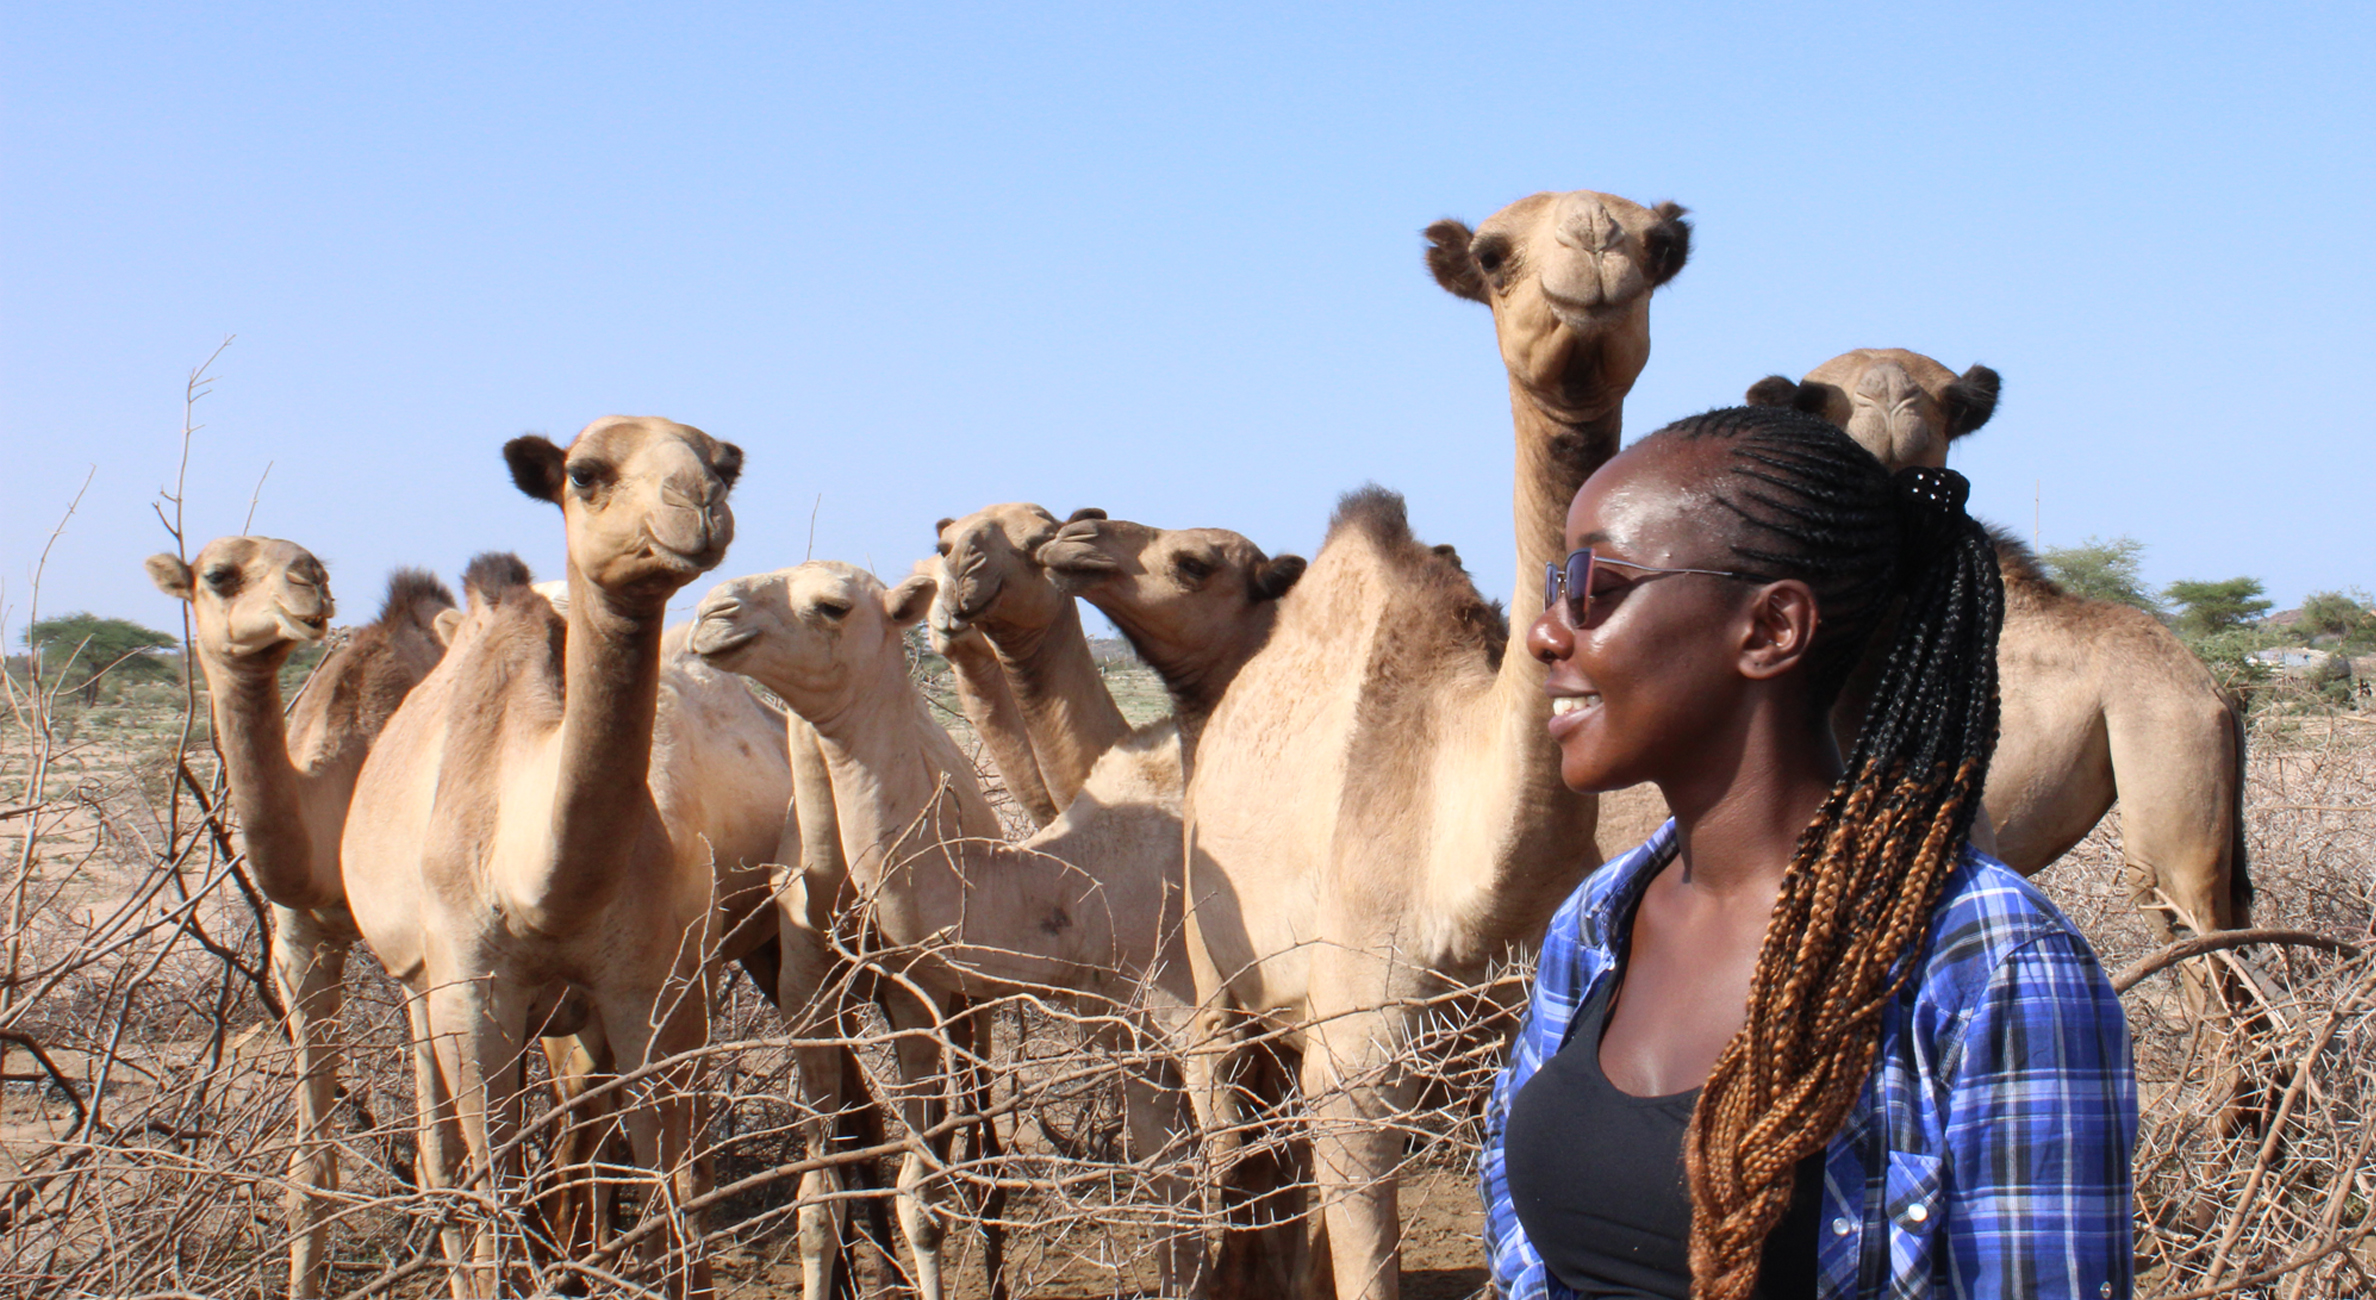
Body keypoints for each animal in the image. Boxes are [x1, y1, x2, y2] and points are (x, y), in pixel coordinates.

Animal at [146, 540, 451, 1298]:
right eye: (218, 575)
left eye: (317, 563)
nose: (309, 584)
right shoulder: (302, 941)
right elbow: (307, 1169)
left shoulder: (421, 956)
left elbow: (440, 1160)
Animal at [340, 416, 758, 1298]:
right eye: (586, 473)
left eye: (722, 465)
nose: (699, 505)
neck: (539, 887)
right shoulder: (469, 990)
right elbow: (492, 1180)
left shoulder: (644, 988)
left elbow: (671, 1181)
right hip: (414, 987)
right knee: (443, 1165)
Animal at [690, 525, 1302, 1300]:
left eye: (832, 606)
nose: (712, 614)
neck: (1074, 882)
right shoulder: (1125, 1030)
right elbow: (1172, 1195)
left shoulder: (1201, 1024)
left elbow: (1224, 1185)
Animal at [1167, 188, 1690, 1300]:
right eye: (1494, 256)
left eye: (1659, 246)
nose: (1593, 243)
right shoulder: (1355, 1074)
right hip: (1211, 957)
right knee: (1228, 1124)